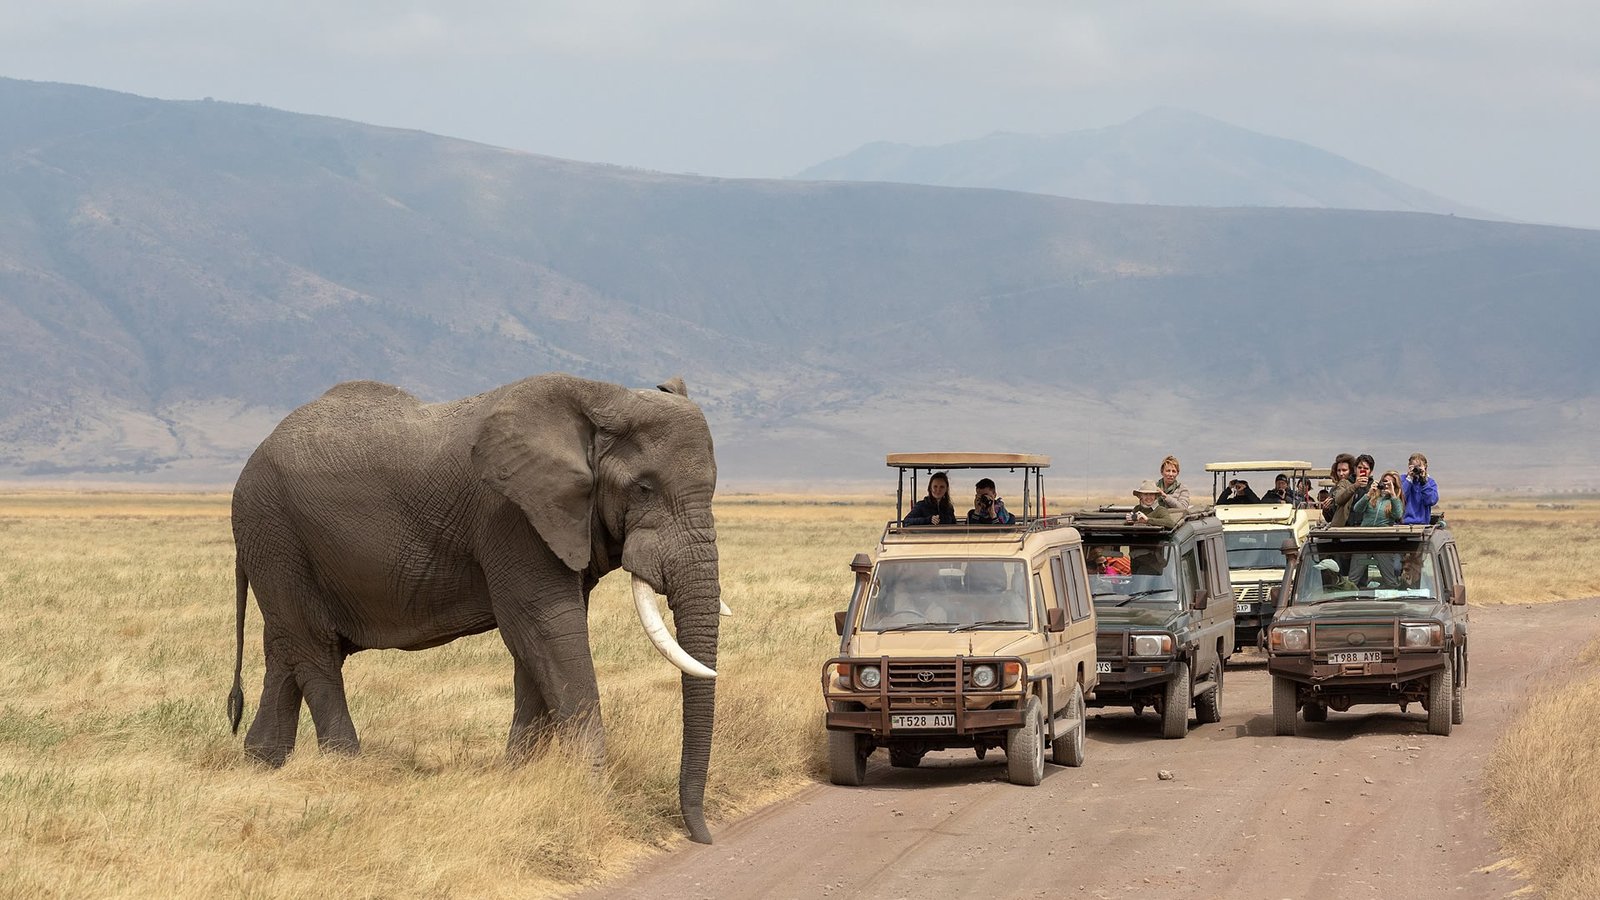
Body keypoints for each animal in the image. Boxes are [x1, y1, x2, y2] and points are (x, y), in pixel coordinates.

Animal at [225, 369, 726, 839]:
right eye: (643, 488)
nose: (699, 835)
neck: (603, 398)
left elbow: (538, 645)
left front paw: (521, 776)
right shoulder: (510, 516)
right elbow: (547, 628)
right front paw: (590, 792)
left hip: (279, 547)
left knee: (285, 651)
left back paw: (263, 762)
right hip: (274, 533)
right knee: (315, 651)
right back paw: (347, 768)